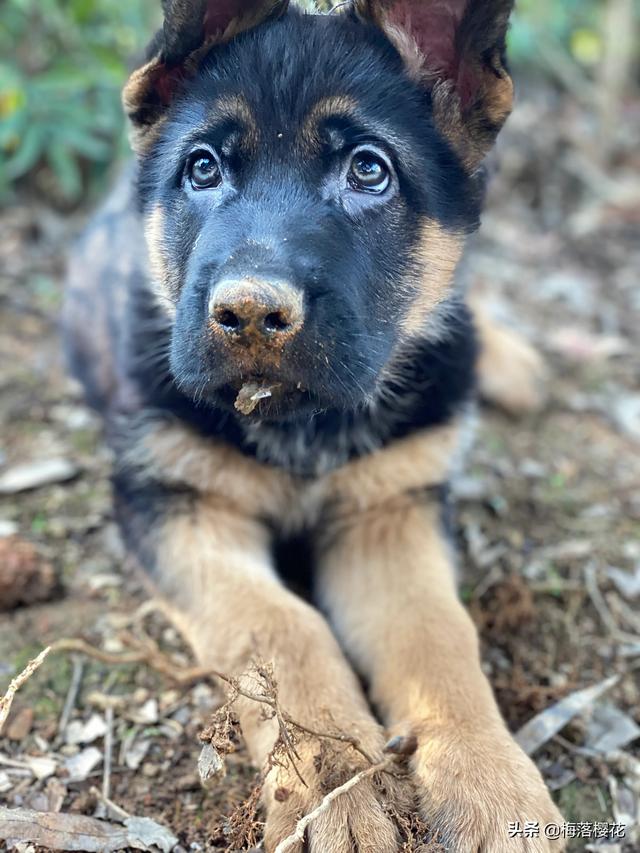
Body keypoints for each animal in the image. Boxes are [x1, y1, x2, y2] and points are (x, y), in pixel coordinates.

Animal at [66, 1, 560, 852]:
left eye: (369, 170)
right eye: (203, 169)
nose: (249, 314)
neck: (300, 421)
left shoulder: (390, 511)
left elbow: (440, 637)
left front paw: (496, 786)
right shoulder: (175, 506)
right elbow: (284, 630)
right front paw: (333, 788)